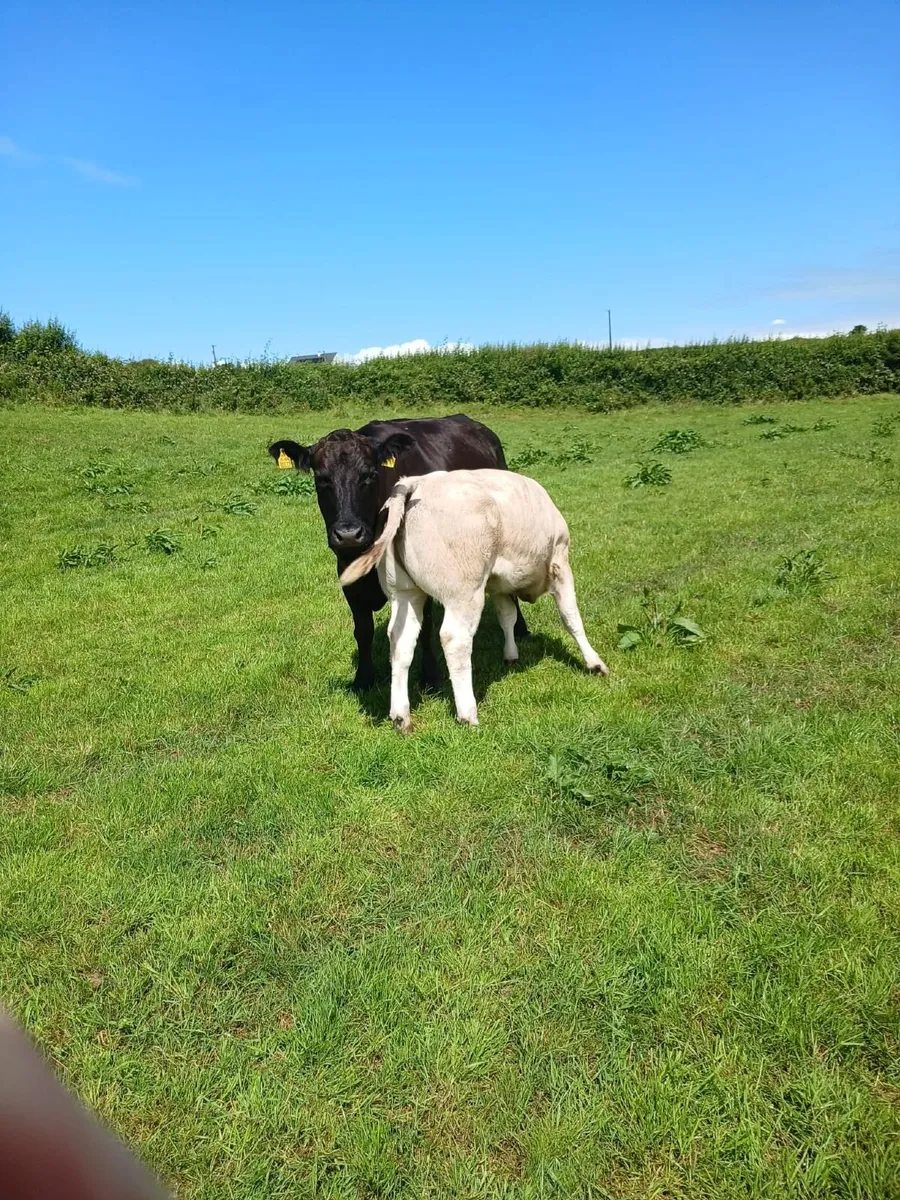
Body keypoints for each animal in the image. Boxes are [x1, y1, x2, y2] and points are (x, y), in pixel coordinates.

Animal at [268, 414, 529, 691]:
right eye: (321, 479)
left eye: (369, 475)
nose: (348, 533)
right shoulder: (348, 575)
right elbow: (363, 630)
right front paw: (363, 678)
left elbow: (424, 628)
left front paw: (430, 676)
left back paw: (520, 628)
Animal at [339, 469, 609, 731]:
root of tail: (414, 482)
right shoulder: (560, 563)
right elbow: (571, 618)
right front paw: (594, 663)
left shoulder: (499, 584)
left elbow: (507, 618)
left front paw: (511, 655)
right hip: (464, 593)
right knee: (455, 639)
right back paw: (467, 713)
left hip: (404, 593)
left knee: (401, 640)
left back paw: (400, 717)